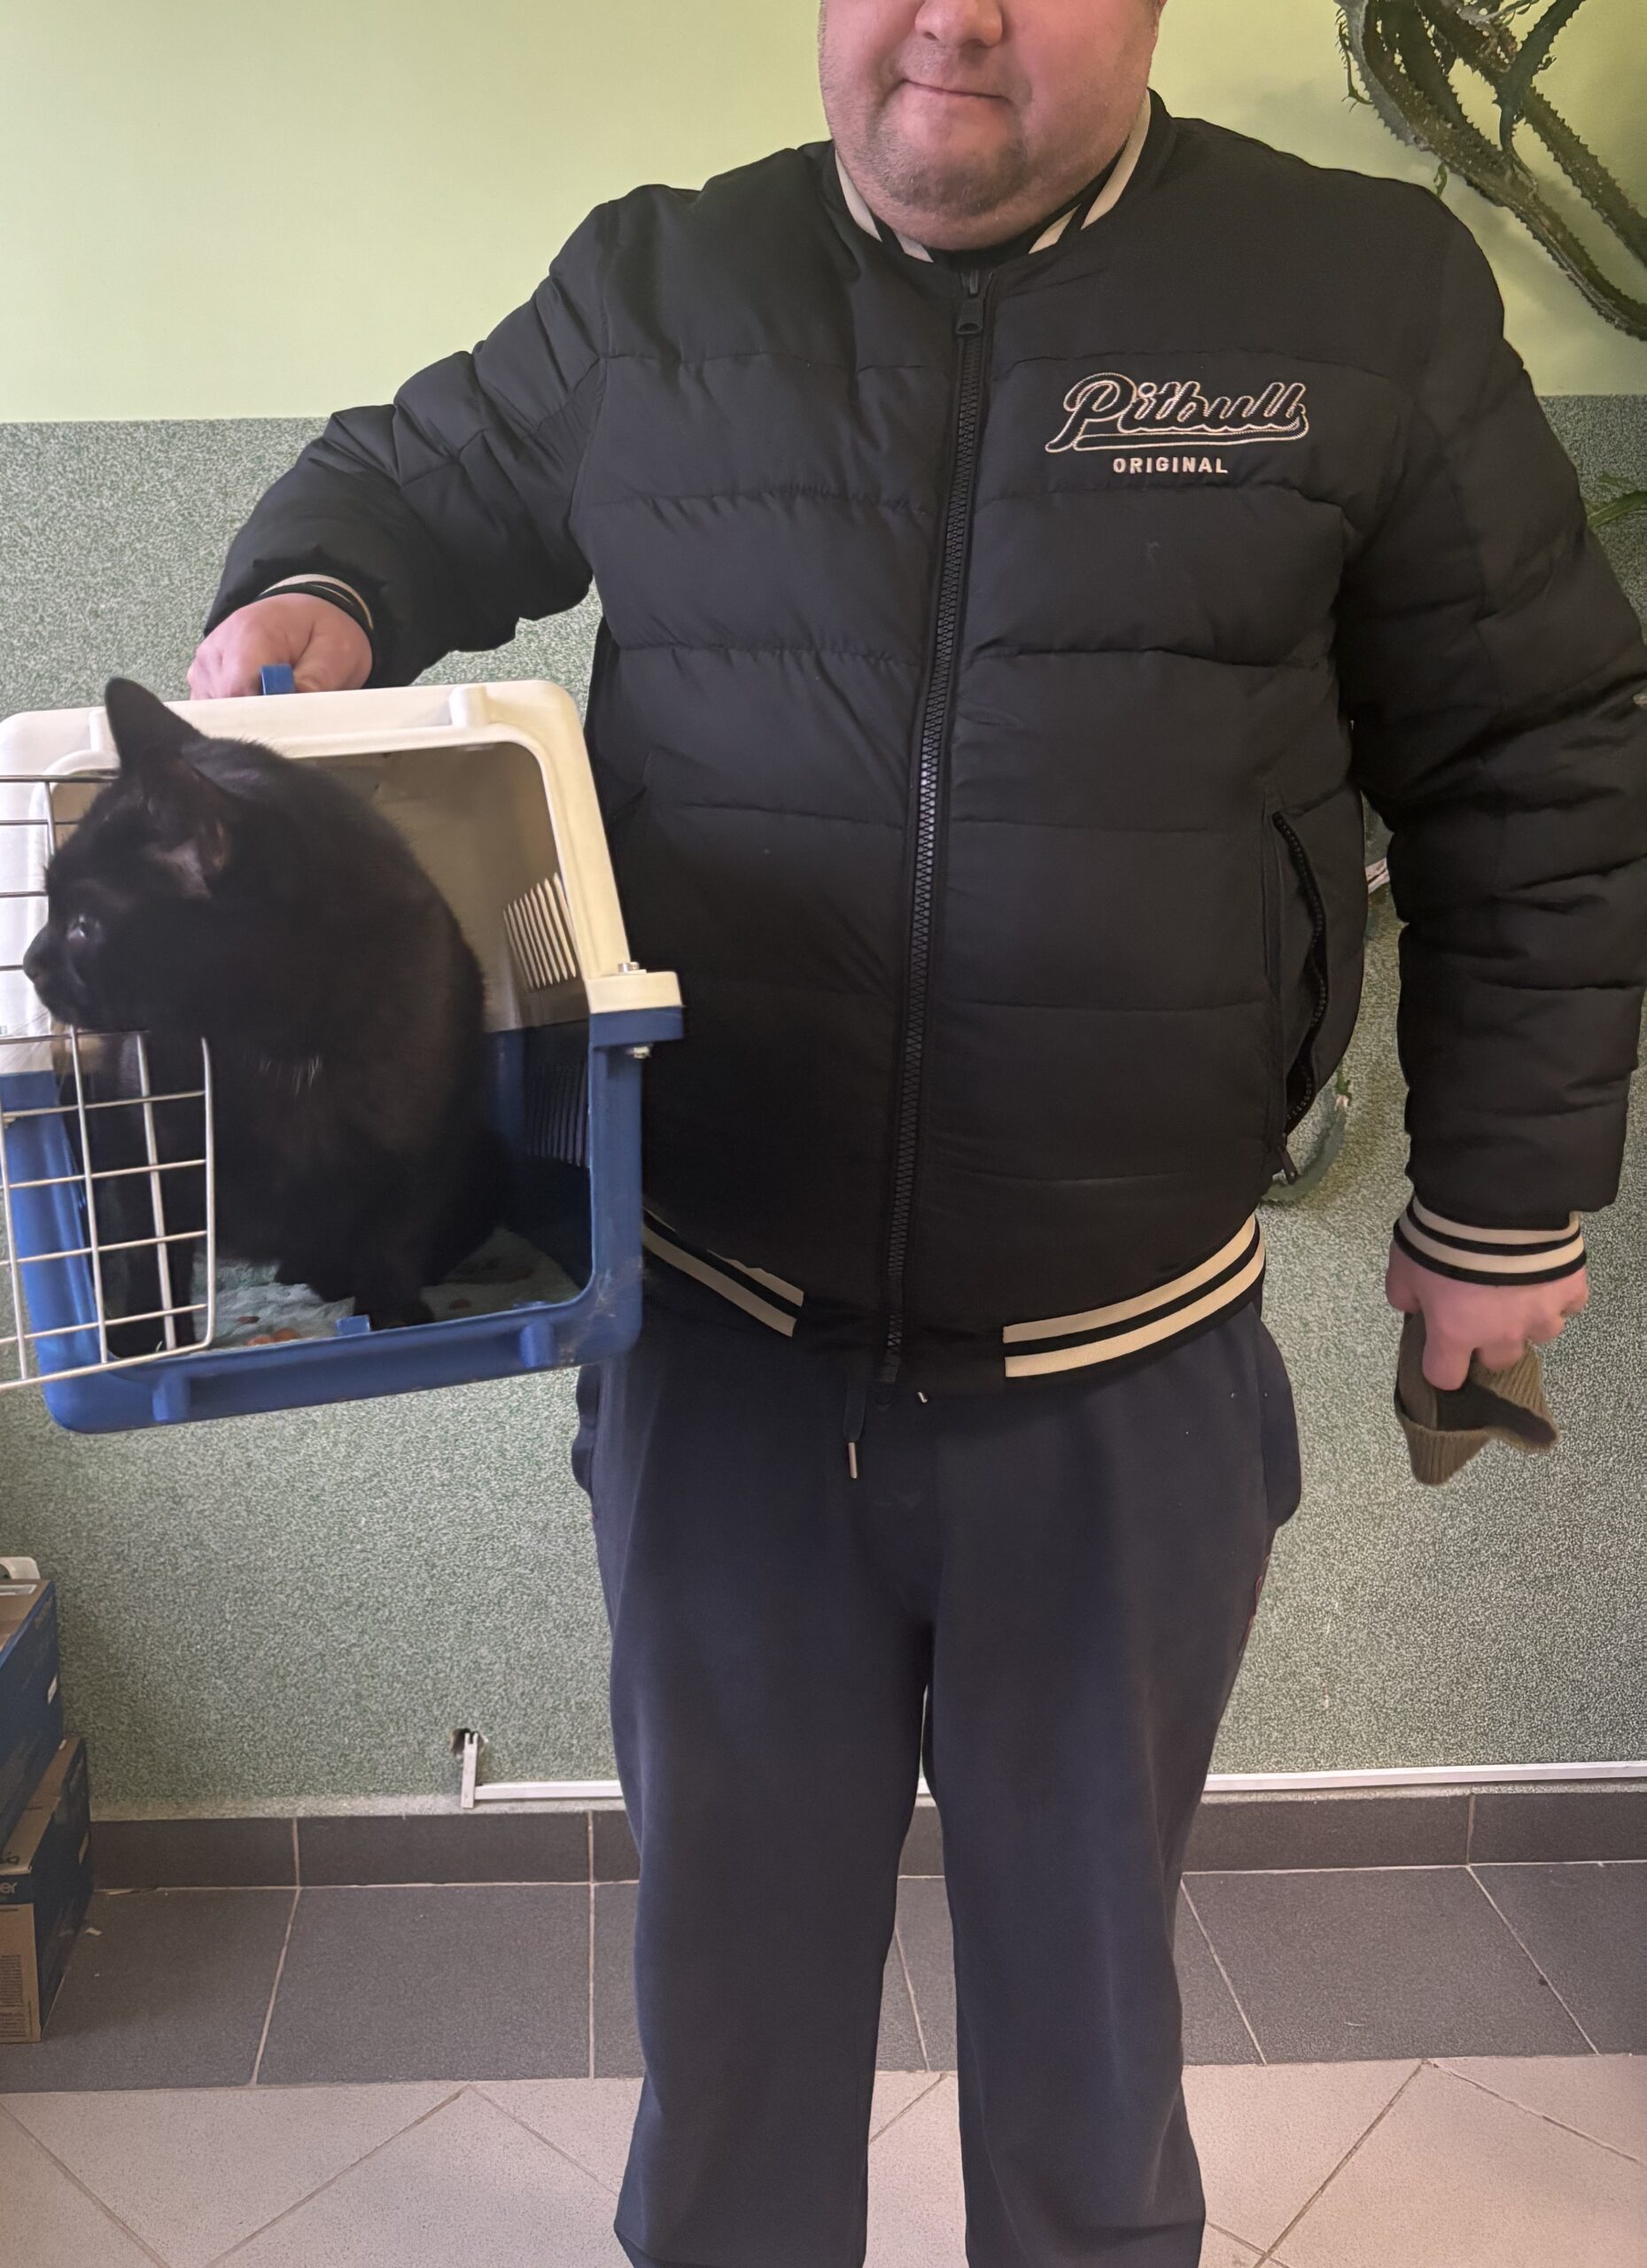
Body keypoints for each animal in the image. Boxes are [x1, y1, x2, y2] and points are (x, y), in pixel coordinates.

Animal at [22, 676, 501, 1346]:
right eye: (50, 904)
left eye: (84, 926)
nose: (29, 961)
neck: (278, 1046)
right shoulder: (140, 1148)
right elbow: (148, 1255)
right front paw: (146, 1342)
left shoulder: (425, 1146)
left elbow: (396, 1235)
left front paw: (392, 1315)